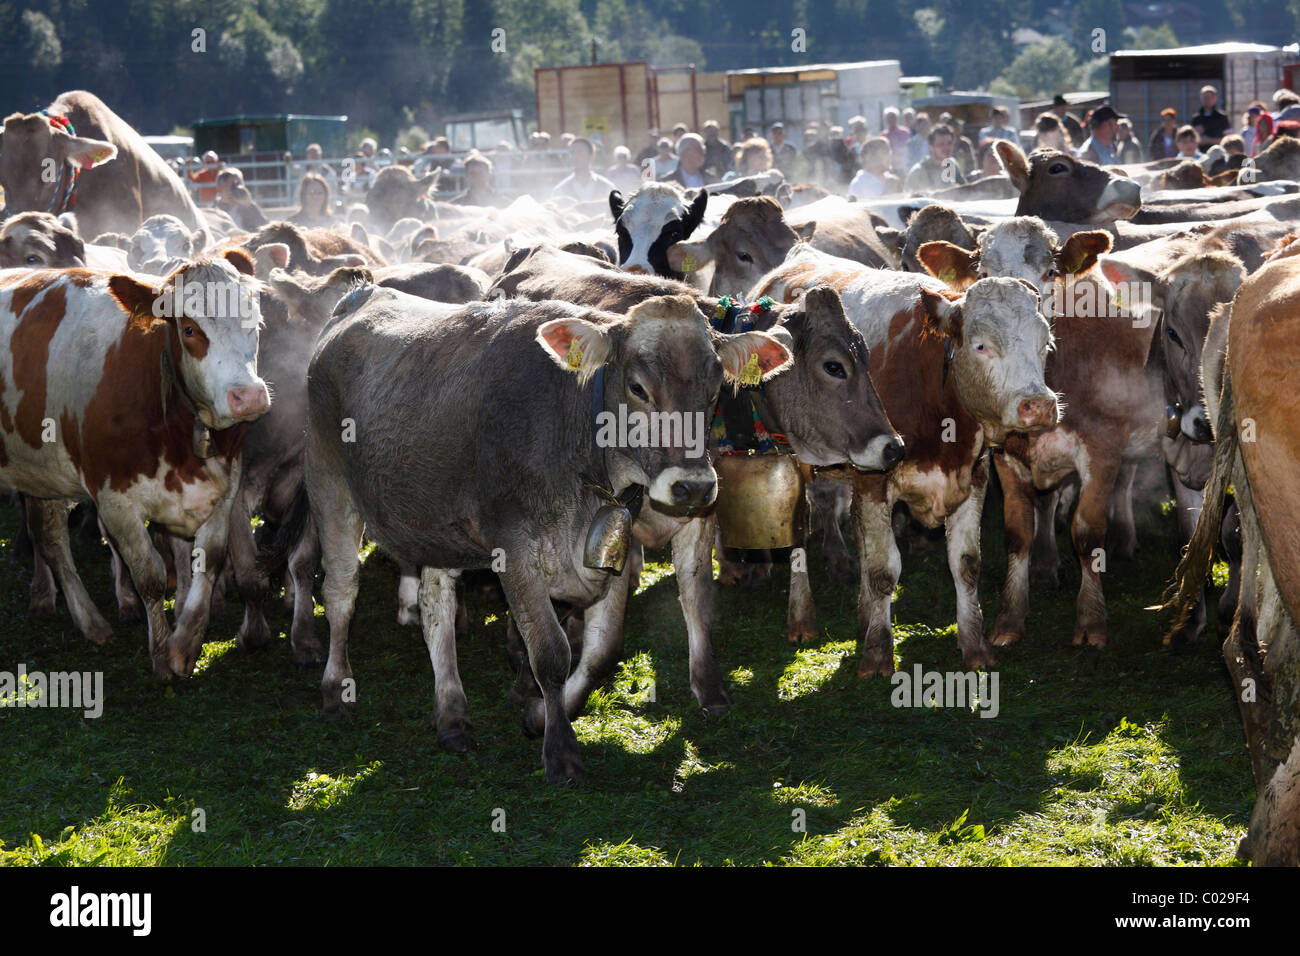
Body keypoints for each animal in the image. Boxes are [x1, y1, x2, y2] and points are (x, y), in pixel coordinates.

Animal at [0, 251, 270, 676]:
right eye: (189, 329)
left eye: (255, 322)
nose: (249, 397)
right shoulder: (114, 501)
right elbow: (150, 577)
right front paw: (161, 654)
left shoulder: (224, 489)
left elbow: (208, 562)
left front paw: (185, 642)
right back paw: (92, 621)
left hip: (42, 472)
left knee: (51, 539)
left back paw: (88, 621)